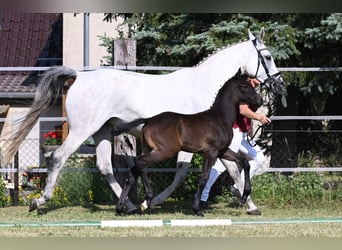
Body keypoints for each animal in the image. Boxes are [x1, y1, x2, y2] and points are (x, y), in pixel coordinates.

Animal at [113, 69, 264, 216]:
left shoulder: (223, 151)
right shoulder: (211, 152)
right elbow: (203, 178)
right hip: (165, 151)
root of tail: (149, 120)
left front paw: (244, 197)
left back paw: (121, 208)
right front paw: (197, 209)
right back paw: (147, 200)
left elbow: (245, 162)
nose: (260, 100)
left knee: (133, 172)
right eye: (245, 86)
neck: (220, 118)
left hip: (150, 149)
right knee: (140, 162)